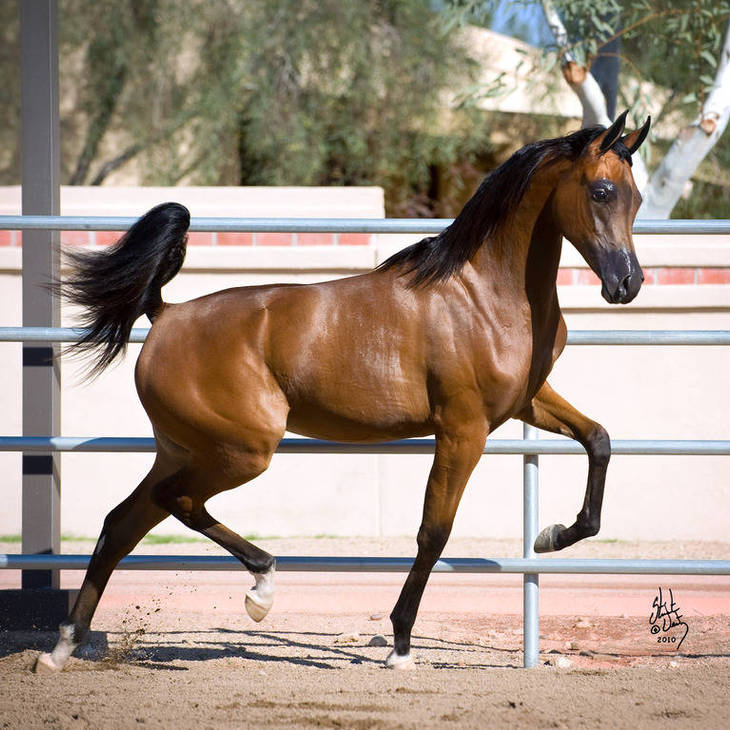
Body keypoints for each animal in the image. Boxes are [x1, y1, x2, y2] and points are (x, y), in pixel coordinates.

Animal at [35, 111, 650, 672]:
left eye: (638, 197)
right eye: (601, 191)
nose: (627, 284)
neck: (483, 294)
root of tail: (165, 314)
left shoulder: (526, 401)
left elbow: (599, 440)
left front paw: (553, 535)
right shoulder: (462, 428)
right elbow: (434, 531)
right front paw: (399, 645)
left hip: (184, 447)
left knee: (122, 524)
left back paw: (62, 648)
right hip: (242, 450)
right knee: (178, 503)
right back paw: (261, 589)